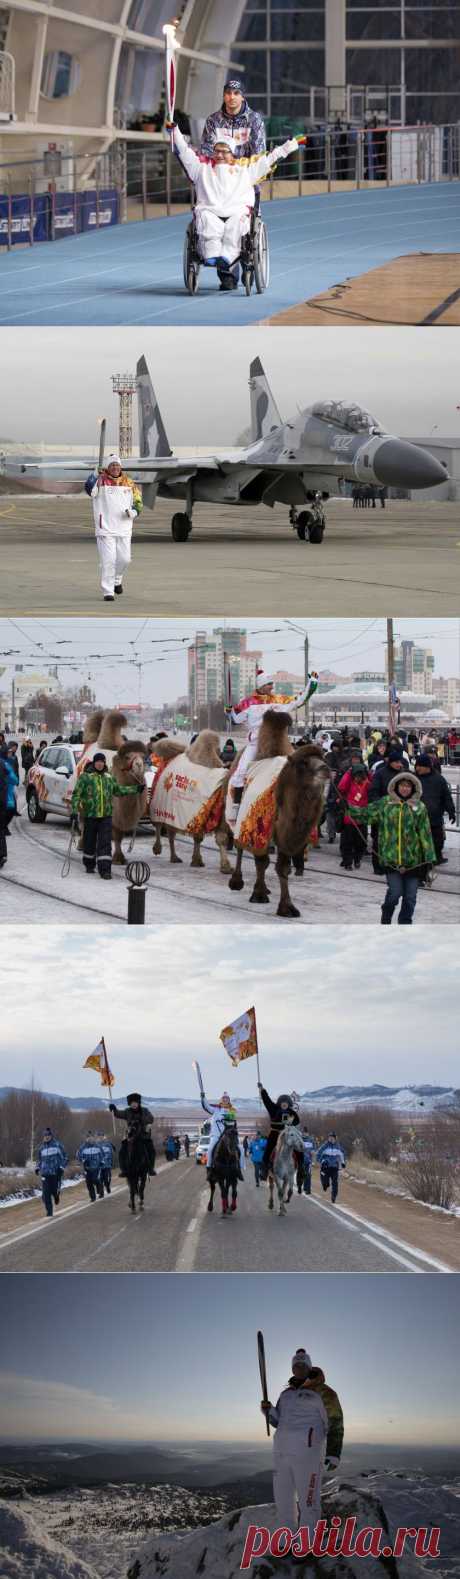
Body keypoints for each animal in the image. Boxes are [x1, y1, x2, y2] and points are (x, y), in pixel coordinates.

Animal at [148, 729, 232, 877]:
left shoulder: (215, 816)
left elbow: (219, 838)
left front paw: (223, 866)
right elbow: (203, 837)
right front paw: (199, 861)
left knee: (170, 832)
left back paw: (174, 857)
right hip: (160, 802)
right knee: (160, 826)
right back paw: (160, 850)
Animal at [227, 713, 330, 922]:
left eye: (322, 757)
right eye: (304, 763)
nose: (326, 769)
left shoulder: (286, 834)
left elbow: (282, 867)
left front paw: (287, 907)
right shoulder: (258, 824)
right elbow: (261, 860)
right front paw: (259, 895)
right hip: (239, 820)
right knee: (240, 846)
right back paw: (236, 881)